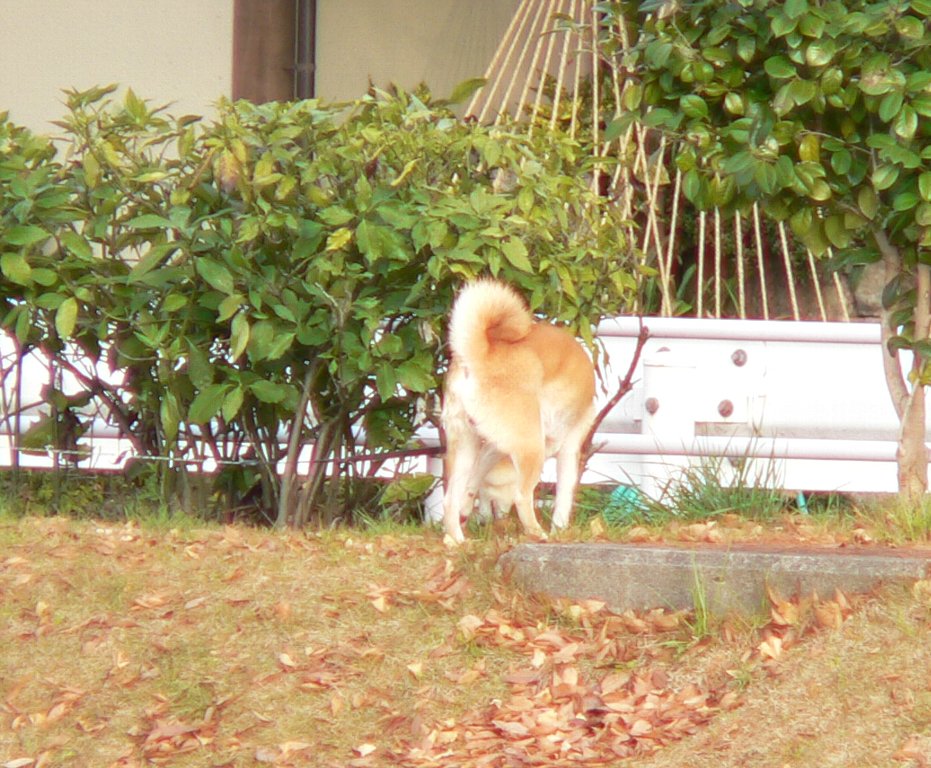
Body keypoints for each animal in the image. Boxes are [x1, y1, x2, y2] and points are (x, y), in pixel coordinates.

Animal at [441, 279, 596, 542]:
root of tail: (480, 354)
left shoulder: (494, 446)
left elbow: (474, 480)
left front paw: (466, 508)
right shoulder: (569, 448)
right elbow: (564, 497)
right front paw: (559, 531)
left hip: (465, 445)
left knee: (449, 500)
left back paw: (458, 542)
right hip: (531, 447)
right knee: (522, 497)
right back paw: (538, 534)